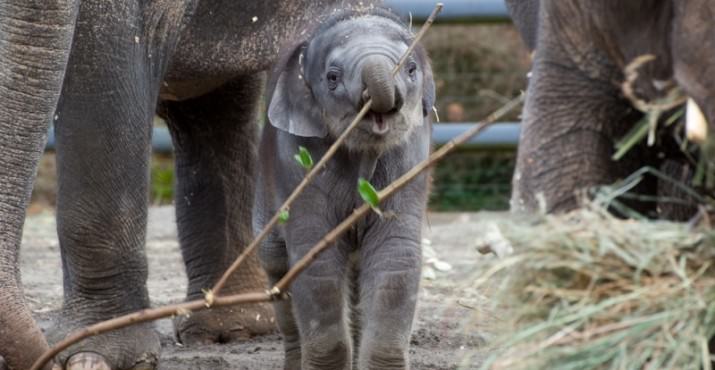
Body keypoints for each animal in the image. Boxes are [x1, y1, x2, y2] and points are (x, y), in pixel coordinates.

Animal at [256, 6, 436, 370]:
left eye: (411, 69)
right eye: (332, 77)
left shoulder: (411, 157)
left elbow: (396, 255)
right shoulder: (297, 158)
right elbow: (316, 263)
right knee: (275, 261)